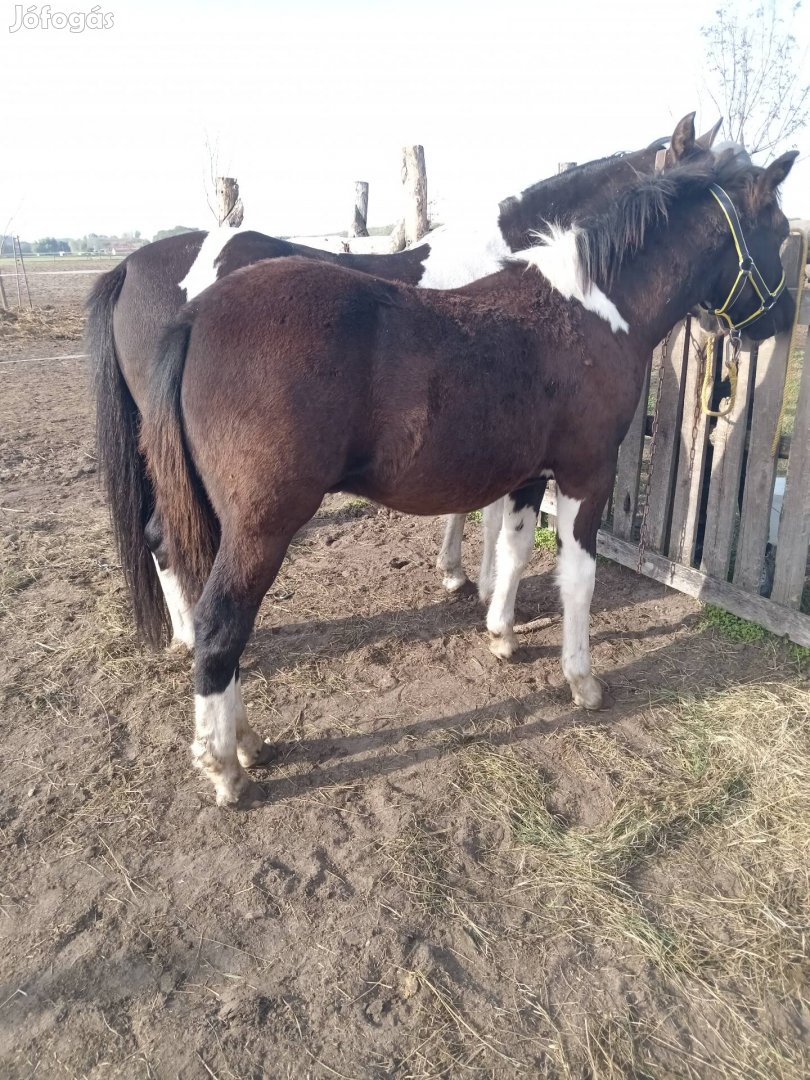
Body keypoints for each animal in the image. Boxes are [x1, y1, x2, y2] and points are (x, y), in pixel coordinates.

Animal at [87, 115, 721, 652]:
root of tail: (129, 267)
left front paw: (460, 575)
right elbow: (488, 514)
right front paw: (479, 585)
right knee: (167, 539)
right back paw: (190, 635)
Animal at [138, 147, 794, 807]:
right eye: (780, 231)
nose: (779, 321)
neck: (593, 310)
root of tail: (197, 316)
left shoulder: (530, 475)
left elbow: (513, 549)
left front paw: (501, 633)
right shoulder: (587, 473)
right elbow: (578, 578)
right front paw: (582, 681)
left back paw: (247, 739)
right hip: (262, 527)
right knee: (222, 625)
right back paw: (224, 764)